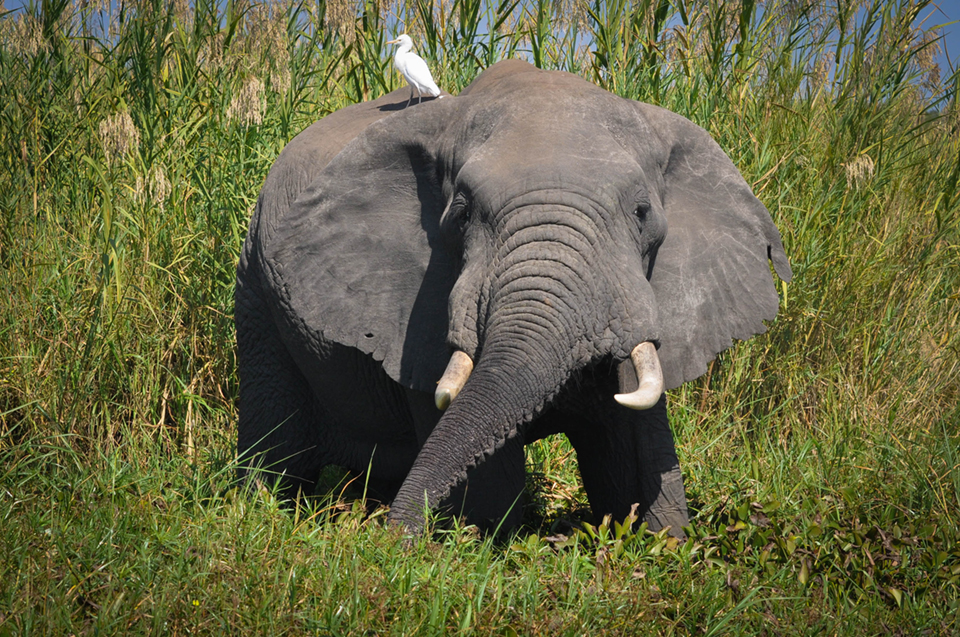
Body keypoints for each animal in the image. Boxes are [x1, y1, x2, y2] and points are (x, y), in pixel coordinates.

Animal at [236, 59, 792, 536]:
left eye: (641, 213)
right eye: (461, 214)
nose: (395, 538)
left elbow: (640, 449)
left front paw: (664, 543)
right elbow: (488, 480)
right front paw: (477, 542)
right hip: (256, 288)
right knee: (274, 446)